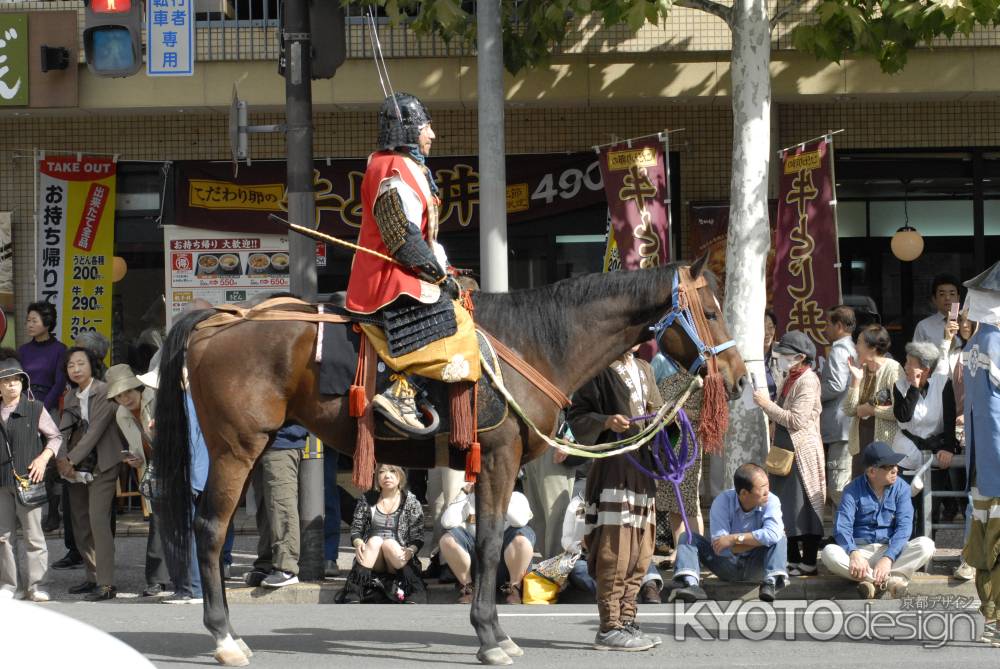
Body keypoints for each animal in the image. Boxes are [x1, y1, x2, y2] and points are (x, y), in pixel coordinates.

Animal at [152, 254, 748, 664]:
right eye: (712, 311)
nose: (740, 378)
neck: (535, 341)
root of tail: (218, 317)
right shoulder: (501, 455)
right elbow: (486, 542)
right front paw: (490, 636)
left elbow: (489, 539)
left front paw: (495, 631)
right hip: (236, 447)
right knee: (210, 530)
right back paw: (225, 637)